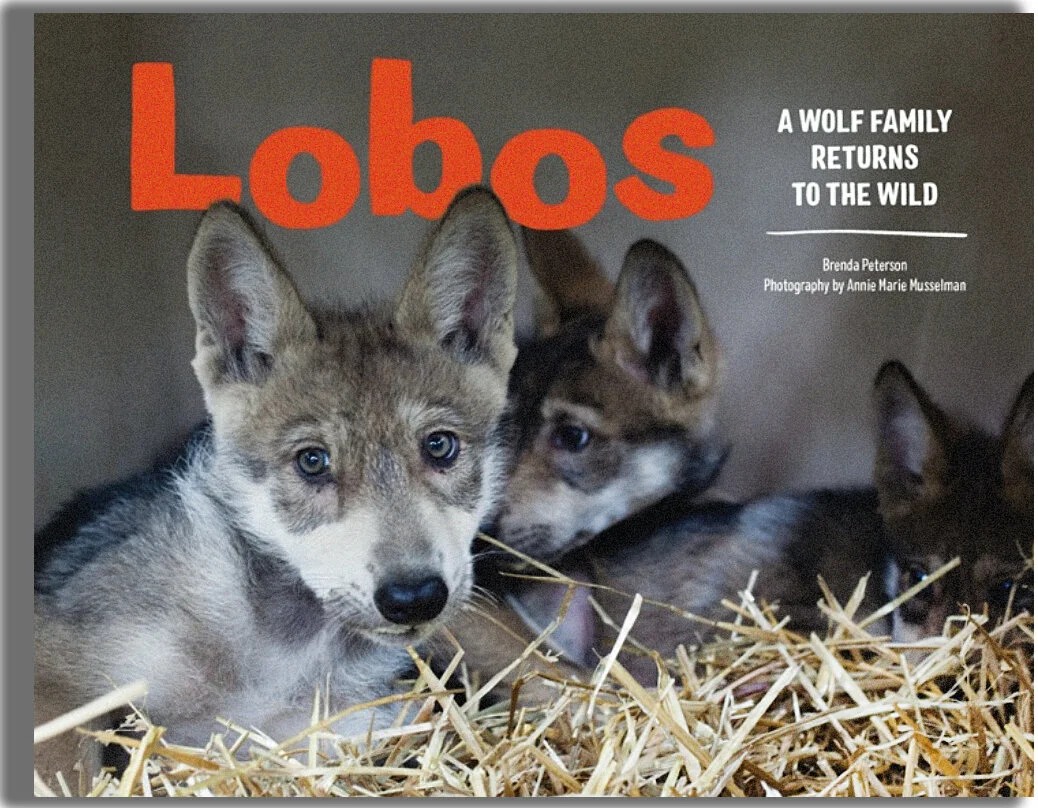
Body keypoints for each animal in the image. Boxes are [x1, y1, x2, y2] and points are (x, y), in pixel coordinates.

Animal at [34, 186, 519, 783]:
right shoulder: (57, 673)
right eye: (312, 461)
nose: (414, 598)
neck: (282, 659)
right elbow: (71, 768)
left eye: (440, 447)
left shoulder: (329, 724)